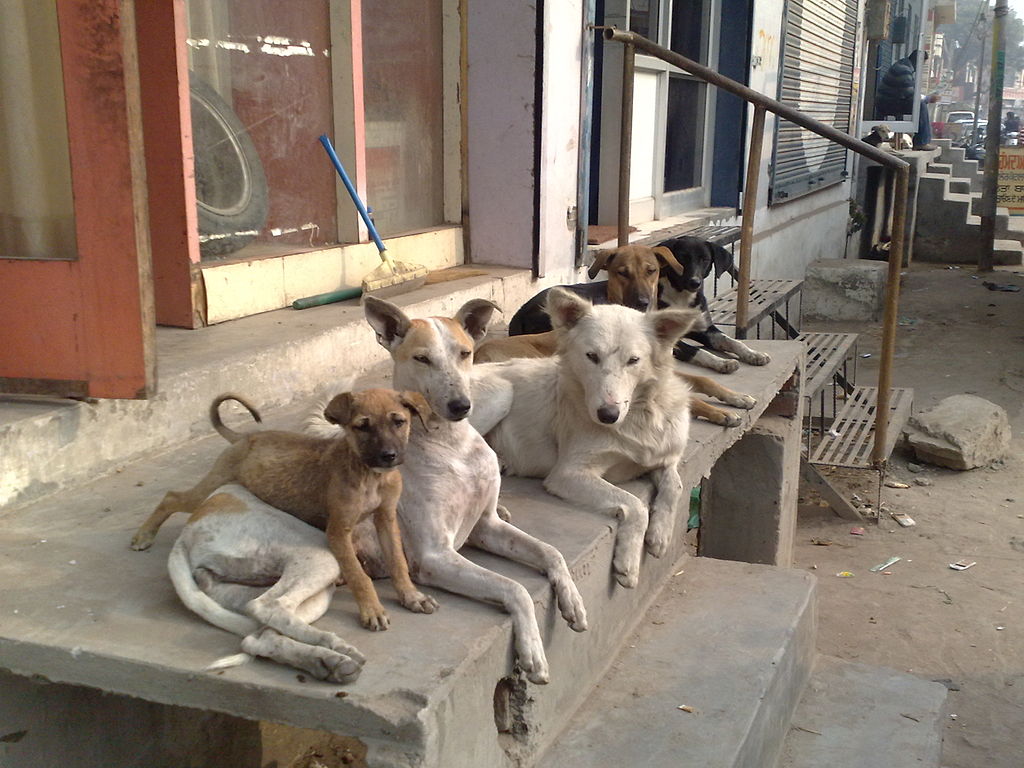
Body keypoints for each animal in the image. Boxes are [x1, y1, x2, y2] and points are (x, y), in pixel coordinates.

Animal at [131, 391, 436, 630]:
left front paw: (411, 596)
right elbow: (358, 575)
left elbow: (398, 562)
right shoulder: (338, 531)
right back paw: (143, 536)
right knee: (171, 497)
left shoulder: (386, 519)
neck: (369, 475)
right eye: (362, 426)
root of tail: (244, 438)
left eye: (399, 422)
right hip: (210, 486)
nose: (388, 456)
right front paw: (371, 610)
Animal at [468, 288, 696, 589]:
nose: (608, 414)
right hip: (499, 394)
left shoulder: (661, 458)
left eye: (633, 360)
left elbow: (675, 485)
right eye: (592, 356)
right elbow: (636, 505)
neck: (636, 418)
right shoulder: (567, 473)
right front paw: (628, 562)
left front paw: (660, 535)